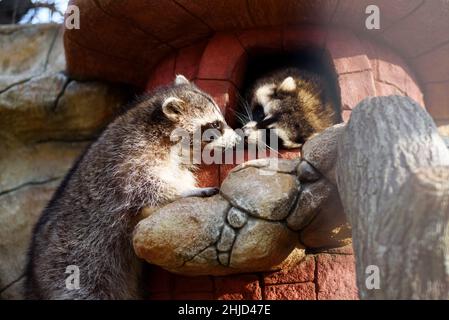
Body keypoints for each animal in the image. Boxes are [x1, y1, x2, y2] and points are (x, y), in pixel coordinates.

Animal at [23, 75, 242, 300]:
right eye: (214, 125)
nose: (239, 138)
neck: (161, 131)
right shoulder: (130, 159)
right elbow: (146, 187)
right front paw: (184, 191)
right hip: (74, 268)